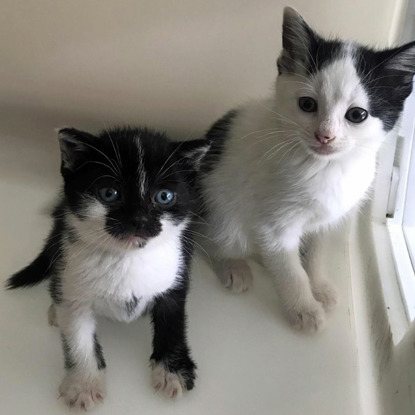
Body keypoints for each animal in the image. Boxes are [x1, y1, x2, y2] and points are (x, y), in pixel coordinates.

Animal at [7, 125, 211, 412]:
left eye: (164, 196)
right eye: (109, 193)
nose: (139, 220)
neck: (126, 258)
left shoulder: (176, 272)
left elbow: (173, 319)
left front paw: (172, 371)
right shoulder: (72, 274)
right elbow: (77, 334)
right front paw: (84, 384)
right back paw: (55, 310)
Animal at [197, 8, 415, 334]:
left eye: (357, 115)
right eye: (307, 104)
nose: (324, 136)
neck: (326, 167)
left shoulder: (327, 219)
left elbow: (316, 252)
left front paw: (319, 286)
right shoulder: (274, 225)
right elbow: (289, 269)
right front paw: (304, 309)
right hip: (221, 211)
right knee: (207, 240)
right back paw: (233, 265)